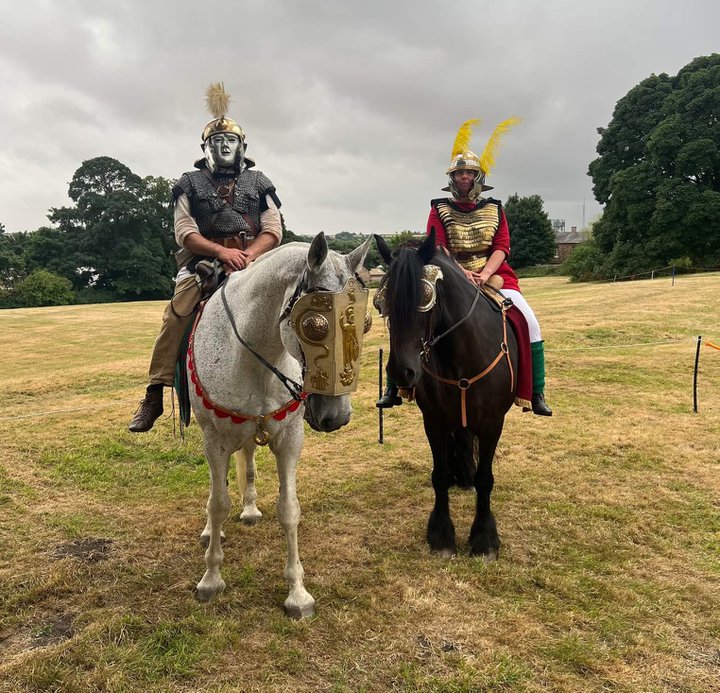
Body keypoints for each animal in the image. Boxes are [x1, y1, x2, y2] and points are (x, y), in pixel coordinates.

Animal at [188, 232, 368, 616]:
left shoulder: (289, 439)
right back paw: (212, 531)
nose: (337, 416)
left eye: (366, 324)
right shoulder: (215, 440)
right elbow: (218, 503)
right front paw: (211, 578)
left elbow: (289, 509)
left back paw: (250, 509)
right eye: (315, 326)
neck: (254, 355)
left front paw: (297, 593)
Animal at [376, 230, 516, 560]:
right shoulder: (435, 421)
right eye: (382, 303)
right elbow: (438, 475)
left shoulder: (492, 423)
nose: (401, 372)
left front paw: (483, 538)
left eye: (425, 299)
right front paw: (441, 535)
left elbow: (486, 479)